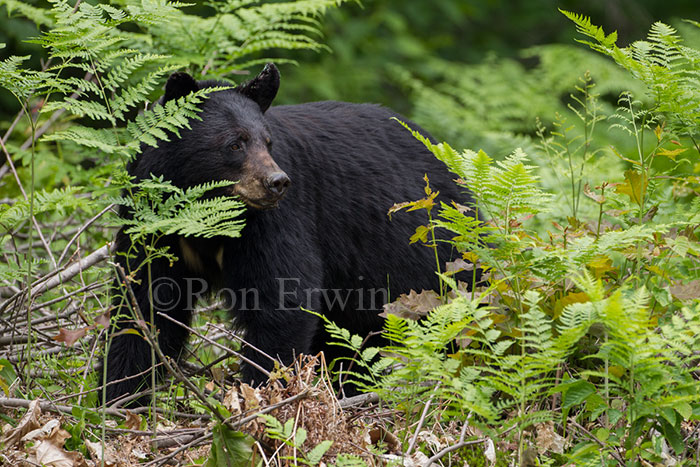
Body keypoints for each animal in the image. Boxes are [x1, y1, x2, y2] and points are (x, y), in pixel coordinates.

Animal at [104, 64, 476, 404]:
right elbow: (145, 305)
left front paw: (262, 394)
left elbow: (283, 300)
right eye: (235, 143)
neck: (205, 217)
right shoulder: (154, 226)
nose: (277, 182)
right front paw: (121, 396)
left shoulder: (275, 223)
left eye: (267, 142)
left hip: (438, 254)